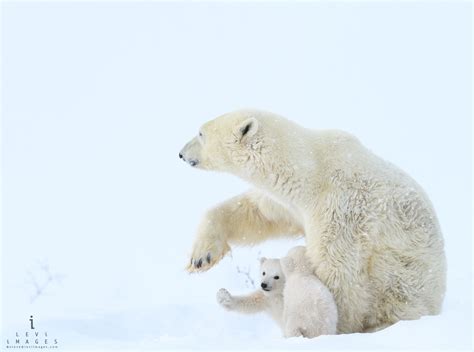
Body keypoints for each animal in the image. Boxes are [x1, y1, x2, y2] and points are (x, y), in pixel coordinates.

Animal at [180, 109, 446, 332]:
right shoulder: (292, 204)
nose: (181, 153)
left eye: (201, 133)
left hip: (403, 280)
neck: (311, 172)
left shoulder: (341, 209)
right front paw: (201, 257)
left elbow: (340, 273)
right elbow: (258, 212)